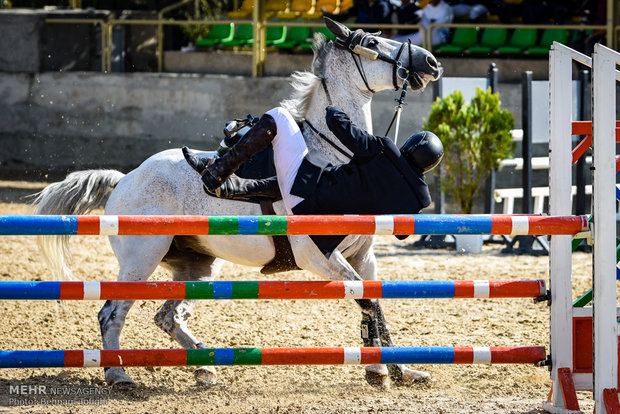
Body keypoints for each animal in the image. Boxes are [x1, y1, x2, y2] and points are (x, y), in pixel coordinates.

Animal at [32, 18, 440, 388]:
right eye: (372, 41)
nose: (431, 62)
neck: (337, 158)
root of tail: (124, 179)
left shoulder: (362, 257)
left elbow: (375, 307)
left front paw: (396, 370)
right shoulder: (319, 256)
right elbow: (367, 303)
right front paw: (381, 371)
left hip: (198, 267)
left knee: (167, 317)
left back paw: (205, 366)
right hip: (140, 261)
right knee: (112, 313)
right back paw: (119, 374)